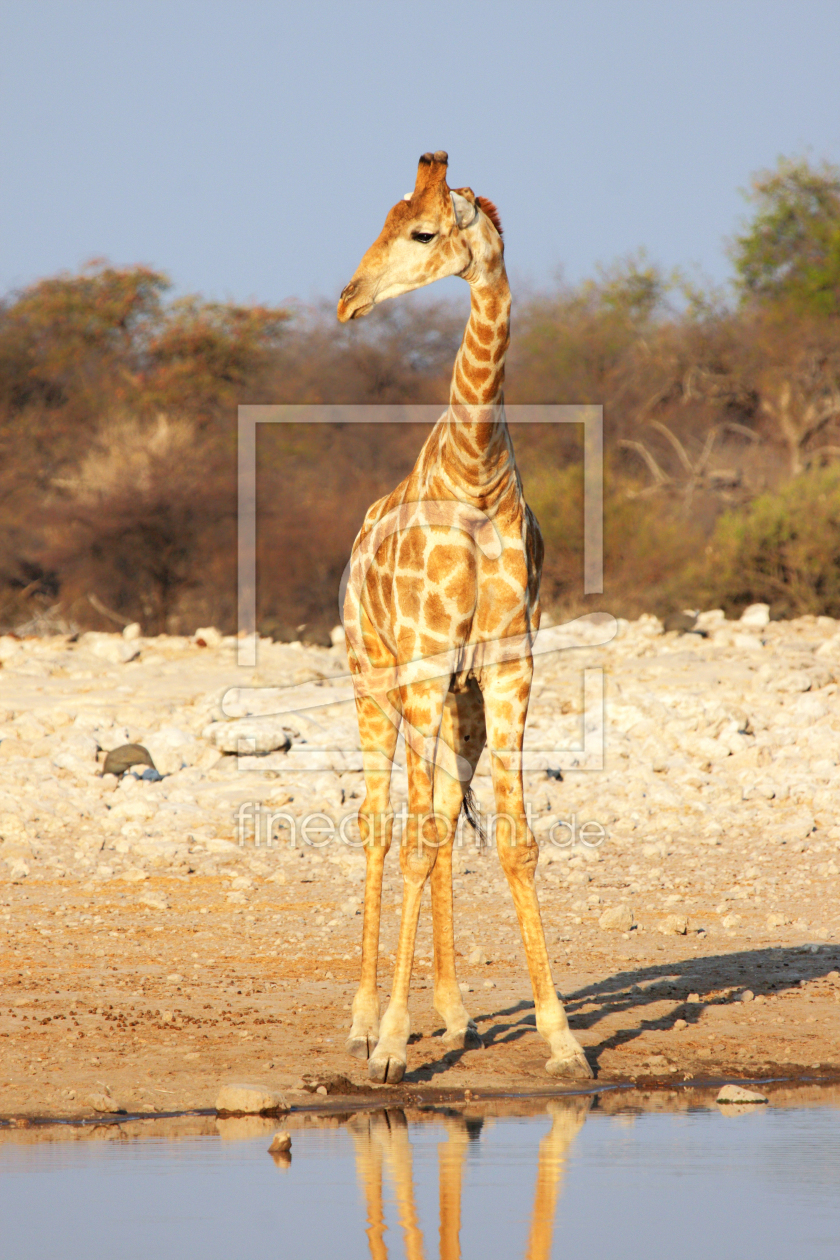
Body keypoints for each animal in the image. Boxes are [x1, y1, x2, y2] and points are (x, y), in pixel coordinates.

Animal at [336, 150, 591, 1084]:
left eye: (420, 232)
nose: (349, 300)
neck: (476, 475)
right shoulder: (419, 663)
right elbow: (409, 838)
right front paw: (386, 1048)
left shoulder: (510, 667)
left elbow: (512, 841)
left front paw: (563, 1041)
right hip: (374, 682)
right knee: (383, 826)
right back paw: (363, 1020)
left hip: (459, 702)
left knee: (442, 818)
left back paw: (450, 1015)